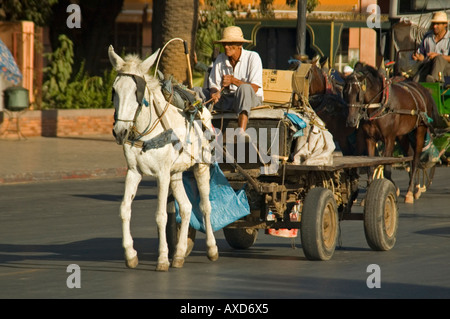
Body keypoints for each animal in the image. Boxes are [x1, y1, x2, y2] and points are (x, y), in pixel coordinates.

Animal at [110, 45, 220, 272]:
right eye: (114, 90)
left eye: (137, 91)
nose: (120, 132)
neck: (146, 132)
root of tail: (202, 107)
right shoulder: (134, 172)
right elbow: (125, 209)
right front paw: (130, 254)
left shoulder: (162, 175)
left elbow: (160, 215)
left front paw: (162, 259)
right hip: (176, 174)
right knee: (186, 208)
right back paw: (178, 254)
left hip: (201, 167)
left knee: (205, 207)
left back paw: (212, 249)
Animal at [342, 61, 442, 204]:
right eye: (344, 93)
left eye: (357, 94)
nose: (351, 121)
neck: (380, 105)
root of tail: (423, 90)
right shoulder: (370, 139)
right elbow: (370, 167)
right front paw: (367, 196)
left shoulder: (389, 138)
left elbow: (387, 166)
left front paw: (390, 188)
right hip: (401, 135)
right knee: (410, 154)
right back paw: (414, 186)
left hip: (420, 129)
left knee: (415, 159)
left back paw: (411, 191)